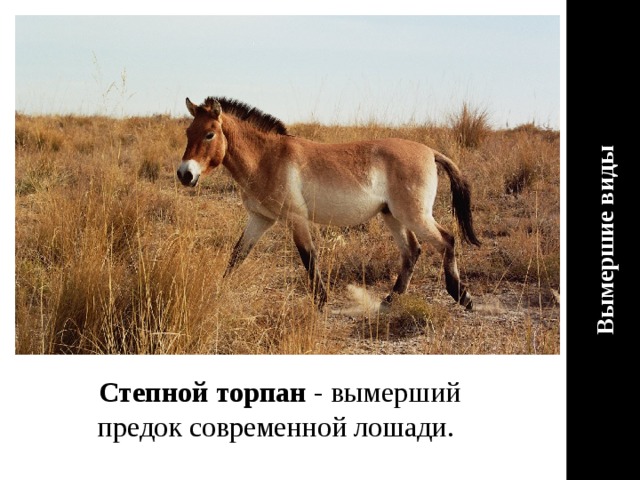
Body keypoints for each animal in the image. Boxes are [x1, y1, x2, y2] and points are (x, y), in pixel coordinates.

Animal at [177, 97, 480, 311]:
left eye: (209, 134)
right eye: (188, 132)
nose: (185, 174)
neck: (267, 158)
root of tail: (430, 152)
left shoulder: (296, 218)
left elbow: (309, 257)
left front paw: (321, 303)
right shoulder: (260, 219)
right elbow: (237, 255)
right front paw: (216, 293)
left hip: (414, 215)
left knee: (446, 240)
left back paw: (462, 296)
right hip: (392, 216)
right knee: (412, 251)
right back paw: (390, 301)